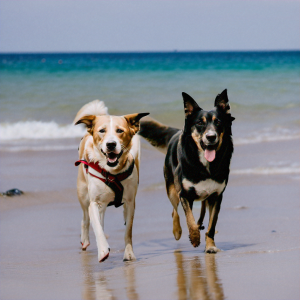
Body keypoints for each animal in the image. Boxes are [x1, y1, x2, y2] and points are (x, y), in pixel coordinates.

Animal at [74, 101, 149, 262]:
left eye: (120, 131)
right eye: (102, 131)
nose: (111, 144)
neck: (112, 172)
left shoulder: (130, 202)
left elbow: (128, 231)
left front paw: (128, 253)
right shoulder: (94, 202)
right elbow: (97, 227)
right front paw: (103, 250)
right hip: (83, 193)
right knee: (85, 218)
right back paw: (85, 240)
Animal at [139, 90, 236, 252]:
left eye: (218, 122)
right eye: (200, 123)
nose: (211, 137)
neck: (205, 164)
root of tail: (177, 132)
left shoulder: (216, 196)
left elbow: (212, 224)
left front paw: (210, 246)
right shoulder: (184, 194)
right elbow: (189, 219)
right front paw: (195, 238)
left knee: (202, 209)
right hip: (172, 190)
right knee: (174, 211)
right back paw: (177, 231)